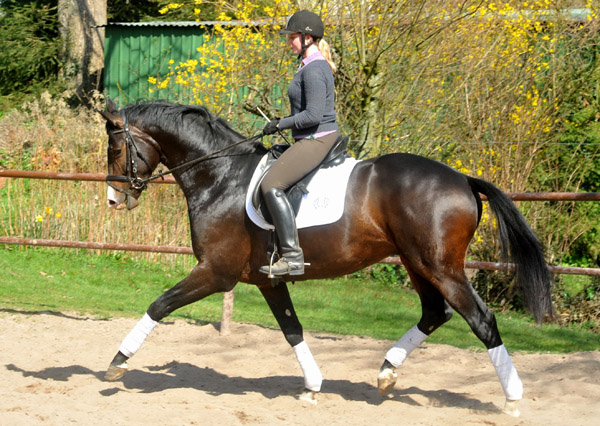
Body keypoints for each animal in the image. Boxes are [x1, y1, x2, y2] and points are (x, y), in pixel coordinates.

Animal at [99, 100, 552, 416]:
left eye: (116, 147)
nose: (115, 198)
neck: (222, 177)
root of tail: (461, 179)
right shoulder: (267, 279)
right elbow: (292, 329)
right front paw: (313, 386)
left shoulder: (215, 272)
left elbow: (159, 304)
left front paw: (117, 362)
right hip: (416, 262)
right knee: (434, 313)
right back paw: (386, 372)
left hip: (441, 267)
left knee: (481, 320)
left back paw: (512, 399)